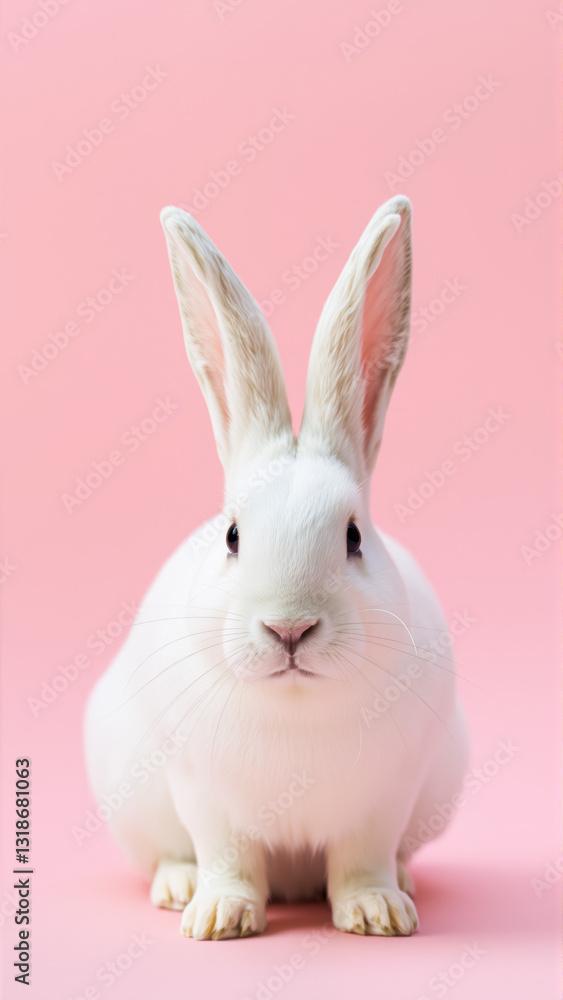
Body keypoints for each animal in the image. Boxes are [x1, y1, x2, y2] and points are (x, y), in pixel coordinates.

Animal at [84, 195, 469, 940]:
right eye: (233, 536)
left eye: (353, 538)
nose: (289, 629)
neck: (295, 707)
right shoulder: (207, 798)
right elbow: (228, 858)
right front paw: (217, 919)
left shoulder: (382, 801)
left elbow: (362, 861)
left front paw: (379, 913)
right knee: (165, 854)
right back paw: (178, 887)